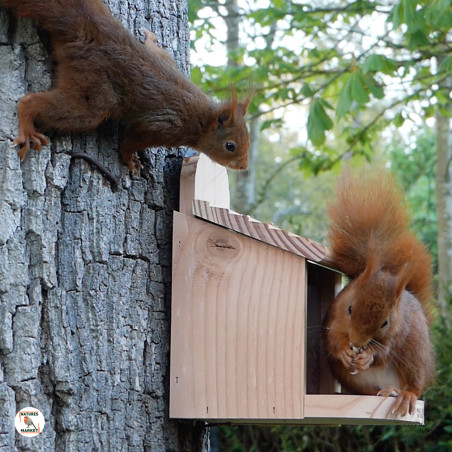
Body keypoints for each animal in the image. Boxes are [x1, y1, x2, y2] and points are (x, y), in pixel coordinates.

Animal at [0, 0, 251, 173]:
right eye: (230, 146)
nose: (243, 167)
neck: (203, 119)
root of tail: (95, 32)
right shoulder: (166, 125)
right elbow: (133, 137)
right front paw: (130, 158)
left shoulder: (169, 64)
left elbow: (159, 53)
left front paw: (151, 38)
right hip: (94, 91)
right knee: (35, 102)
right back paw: (27, 126)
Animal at [324, 171, 434, 418]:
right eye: (350, 308)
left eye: (385, 323)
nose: (356, 342)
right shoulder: (334, 315)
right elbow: (331, 339)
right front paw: (344, 350)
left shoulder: (397, 331)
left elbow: (384, 351)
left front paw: (368, 356)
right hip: (354, 381)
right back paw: (384, 391)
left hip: (415, 354)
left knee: (415, 383)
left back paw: (405, 395)